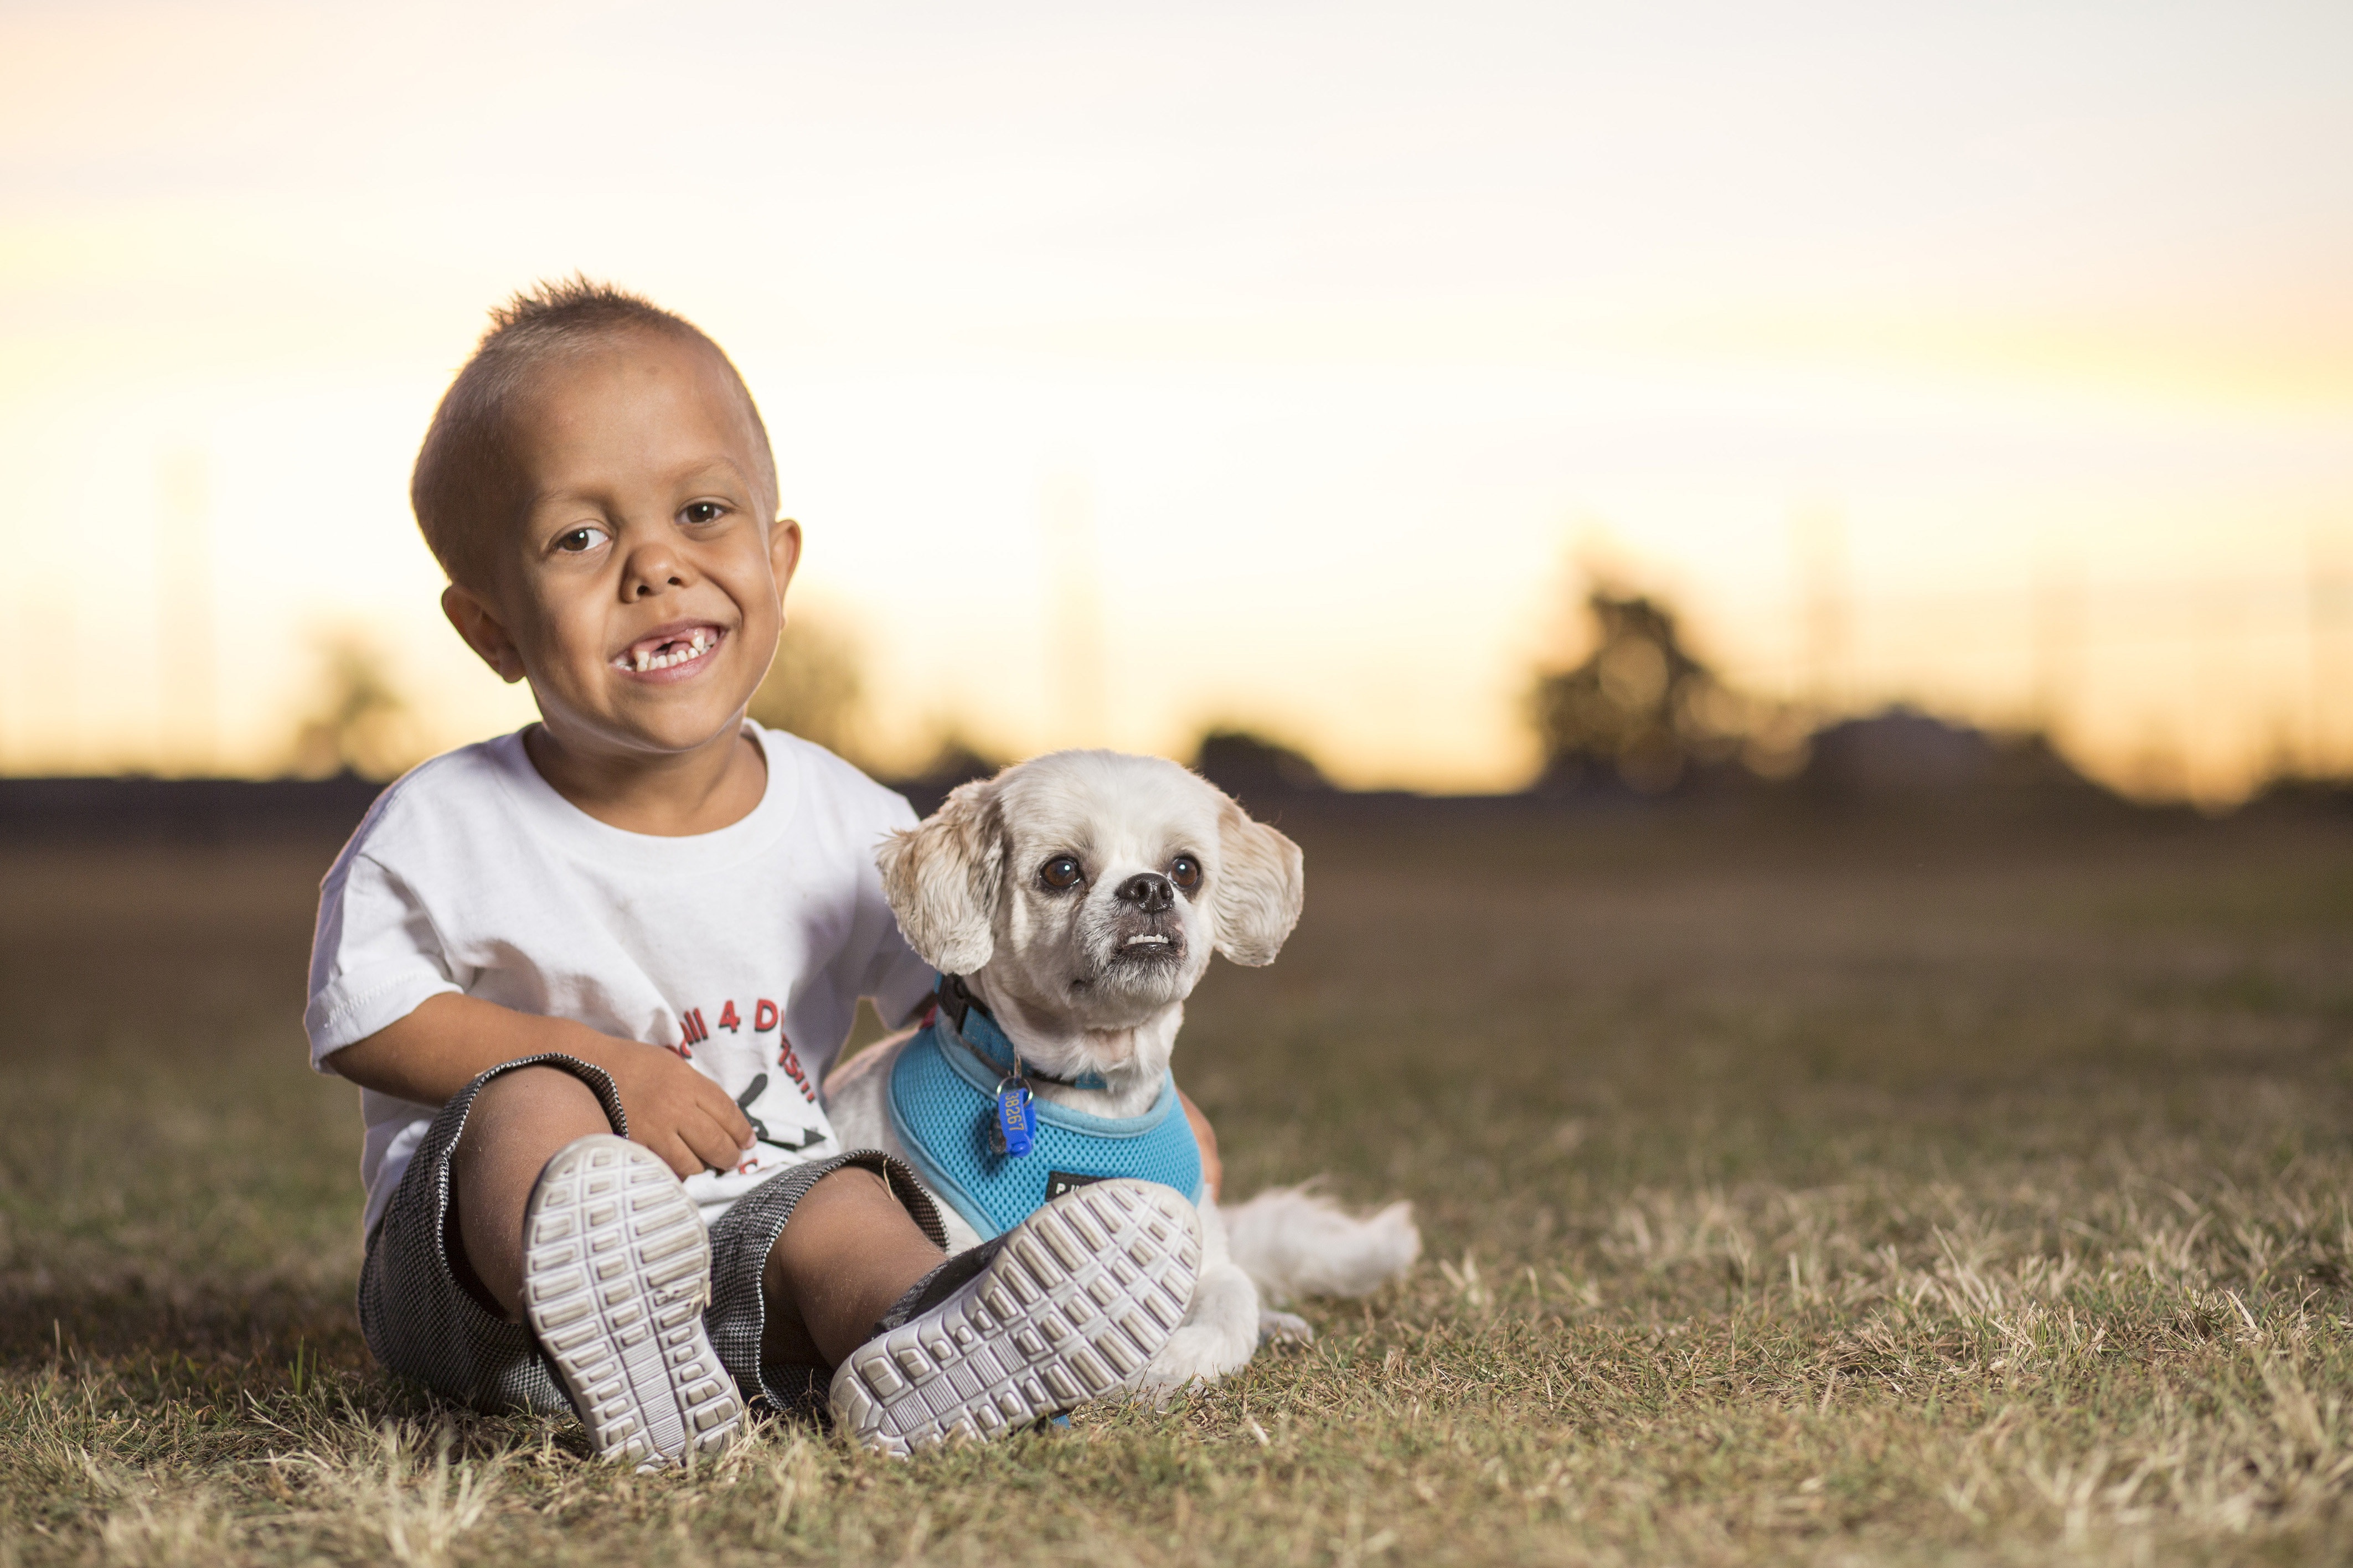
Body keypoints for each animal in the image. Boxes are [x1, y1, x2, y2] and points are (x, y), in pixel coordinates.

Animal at [828, 752, 1412, 1391]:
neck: (1095, 1089)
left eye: (1186, 870)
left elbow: (1231, 1307)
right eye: (1061, 871)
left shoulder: (1206, 1254)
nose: (1151, 886)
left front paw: (1172, 1362)